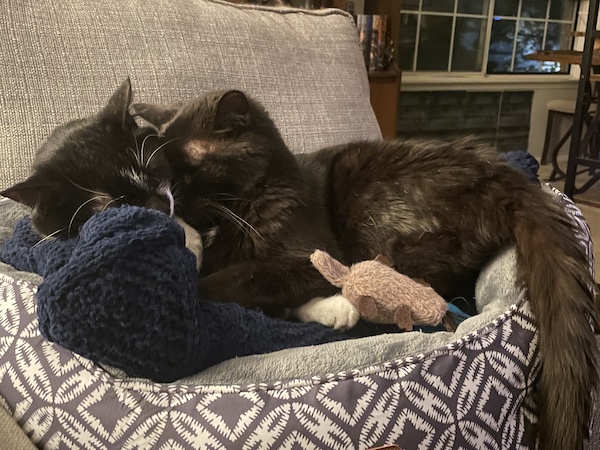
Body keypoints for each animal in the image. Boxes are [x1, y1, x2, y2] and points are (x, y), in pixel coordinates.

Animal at [2, 79, 596, 448]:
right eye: (160, 166)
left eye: (184, 166)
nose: (171, 204)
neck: (242, 209)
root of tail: (509, 178)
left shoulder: (312, 251)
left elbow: (260, 275)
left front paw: (213, 287)